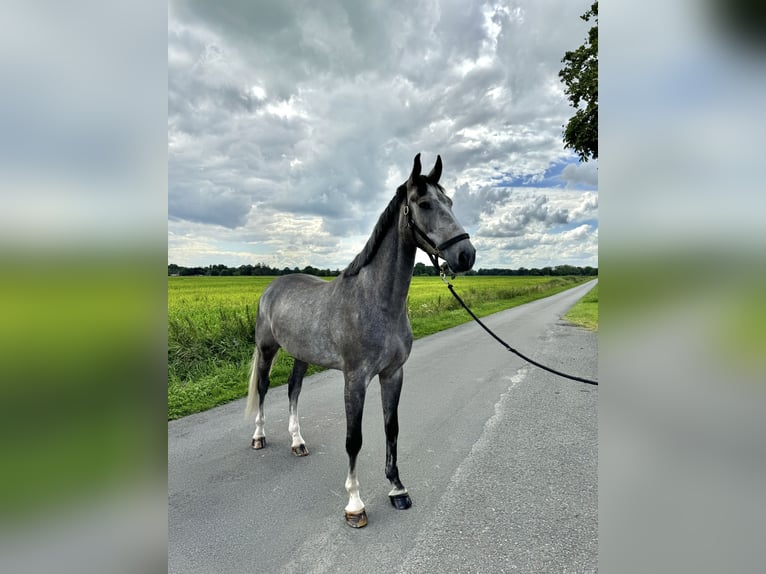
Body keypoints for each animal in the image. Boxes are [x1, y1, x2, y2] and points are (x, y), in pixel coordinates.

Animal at [246, 154, 476, 532]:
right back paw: (259, 437)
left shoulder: (393, 374)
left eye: (451, 202)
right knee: (264, 389)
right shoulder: (354, 380)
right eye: (424, 203)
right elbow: (354, 440)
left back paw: (298, 442)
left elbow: (391, 428)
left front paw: (397, 488)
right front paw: (355, 504)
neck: (376, 302)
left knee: (293, 390)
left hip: (301, 355)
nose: (465, 255)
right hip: (267, 350)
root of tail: (273, 286)